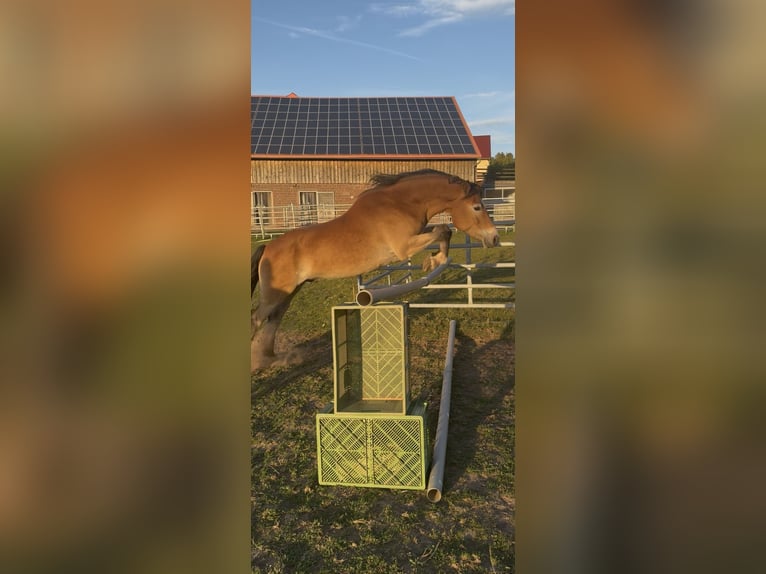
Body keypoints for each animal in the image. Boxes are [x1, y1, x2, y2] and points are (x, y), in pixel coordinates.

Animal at [250, 168, 499, 371]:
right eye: (477, 207)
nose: (494, 238)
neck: (401, 203)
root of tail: (267, 247)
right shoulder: (403, 247)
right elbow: (442, 230)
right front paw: (433, 261)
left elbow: (444, 230)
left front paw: (434, 261)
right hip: (275, 294)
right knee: (257, 318)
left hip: (290, 292)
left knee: (273, 320)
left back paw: (271, 360)